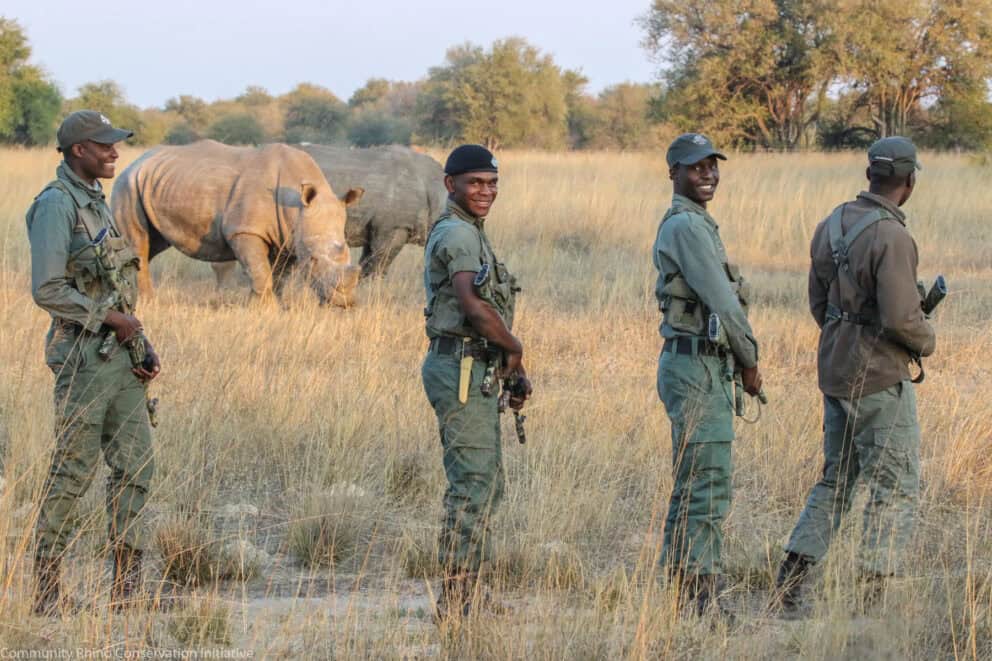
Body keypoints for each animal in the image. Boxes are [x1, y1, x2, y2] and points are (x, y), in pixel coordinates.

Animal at [111, 140, 362, 306]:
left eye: (348, 253)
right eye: (313, 260)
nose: (344, 302)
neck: (296, 207)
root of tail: (135, 161)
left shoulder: (289, 238)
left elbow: (279, 276)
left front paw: (275, 307)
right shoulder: (244, 231)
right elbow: (259, 271)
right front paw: (263, 310)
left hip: (155, 183)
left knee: (152, 244)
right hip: (127, 185)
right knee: (138, 242)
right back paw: (147, 303)